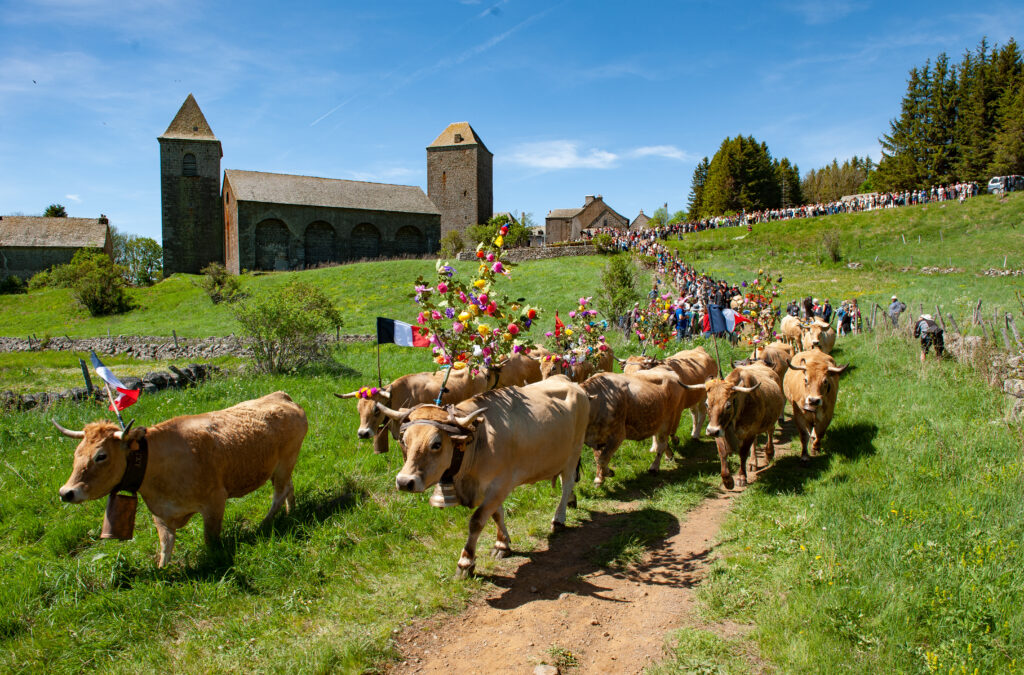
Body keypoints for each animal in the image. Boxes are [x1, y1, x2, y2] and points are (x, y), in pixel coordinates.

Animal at [57, 393, 303, 569]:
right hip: (281, 467)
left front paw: (213, 559)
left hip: (284, 463)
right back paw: (291, 512)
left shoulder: (215, 501)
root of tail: (281, 396)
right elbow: (166, 546)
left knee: (279, 494)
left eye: (101, 456)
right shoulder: (160, 512)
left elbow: (210, 539)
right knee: (288, 488)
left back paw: (264, 524)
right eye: (76, 453)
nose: (66, 492)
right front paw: (162, 571)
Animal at [376, 376, 589, 577]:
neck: (479, 440)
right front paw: (502, 544)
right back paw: (571, 501)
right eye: (404, 441)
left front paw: (466, 562)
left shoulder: (501, 484)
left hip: (574, 450)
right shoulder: (488, 488)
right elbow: (496, 514)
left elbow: (477, 520)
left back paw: (559, 519)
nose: (404, 482)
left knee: (567, 483)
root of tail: (567, 381)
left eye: (436, 444)